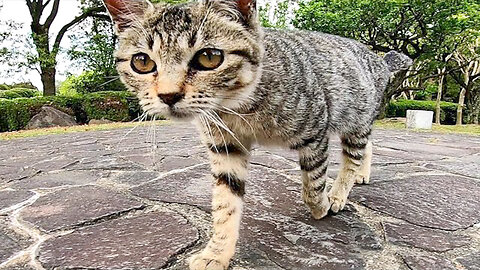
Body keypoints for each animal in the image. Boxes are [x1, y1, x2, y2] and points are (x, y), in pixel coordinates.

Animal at [103, 1, 410, 268]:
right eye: (141, 62)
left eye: (209, 57)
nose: (168, 95)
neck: (238, 108)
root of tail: (377, 58)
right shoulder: (225, 147)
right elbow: (225, 204)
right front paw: (216, 253)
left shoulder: (316, 129)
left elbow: (313, 184)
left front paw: (321, 205)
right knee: (366, 146)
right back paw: (360, 175)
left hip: (355, 117)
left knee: (354, 153)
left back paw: (339, 192)